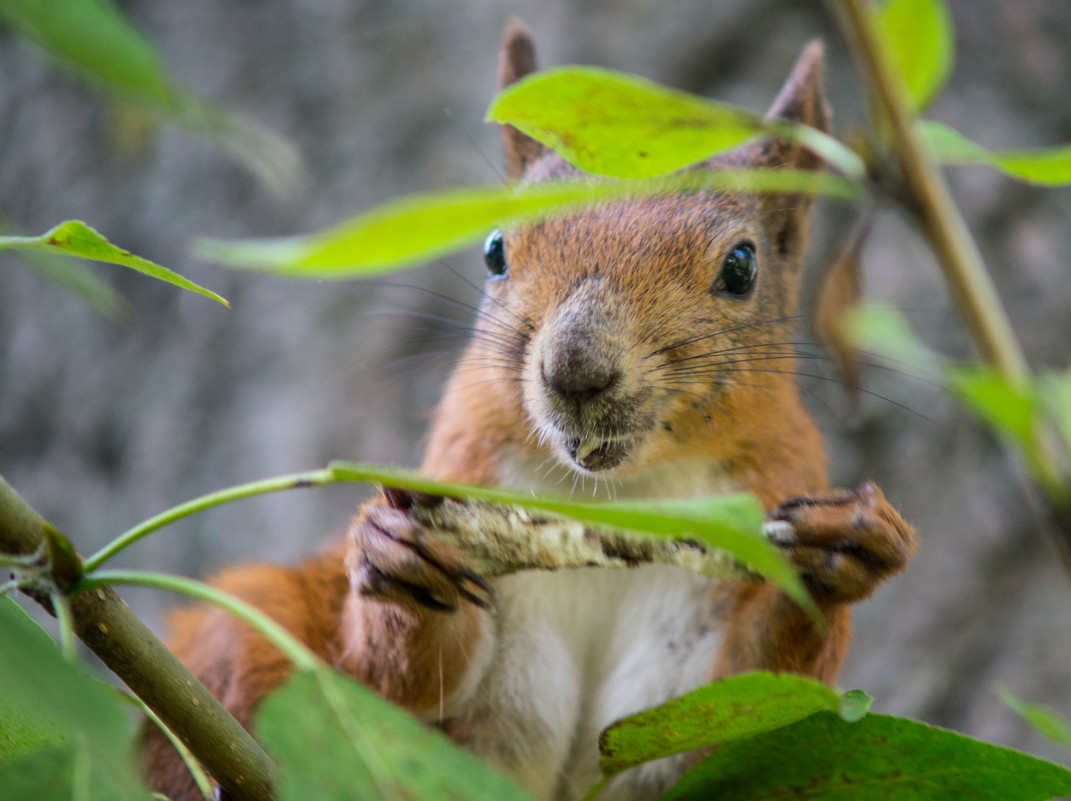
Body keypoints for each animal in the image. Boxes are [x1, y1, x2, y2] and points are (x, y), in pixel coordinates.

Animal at [140, 25, 912, 801]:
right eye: (493, 249)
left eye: (742, 266)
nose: (575, 368)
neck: (614, 496)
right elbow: (397, 684)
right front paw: (393, 555)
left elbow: (744, 706)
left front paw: (842, 549)